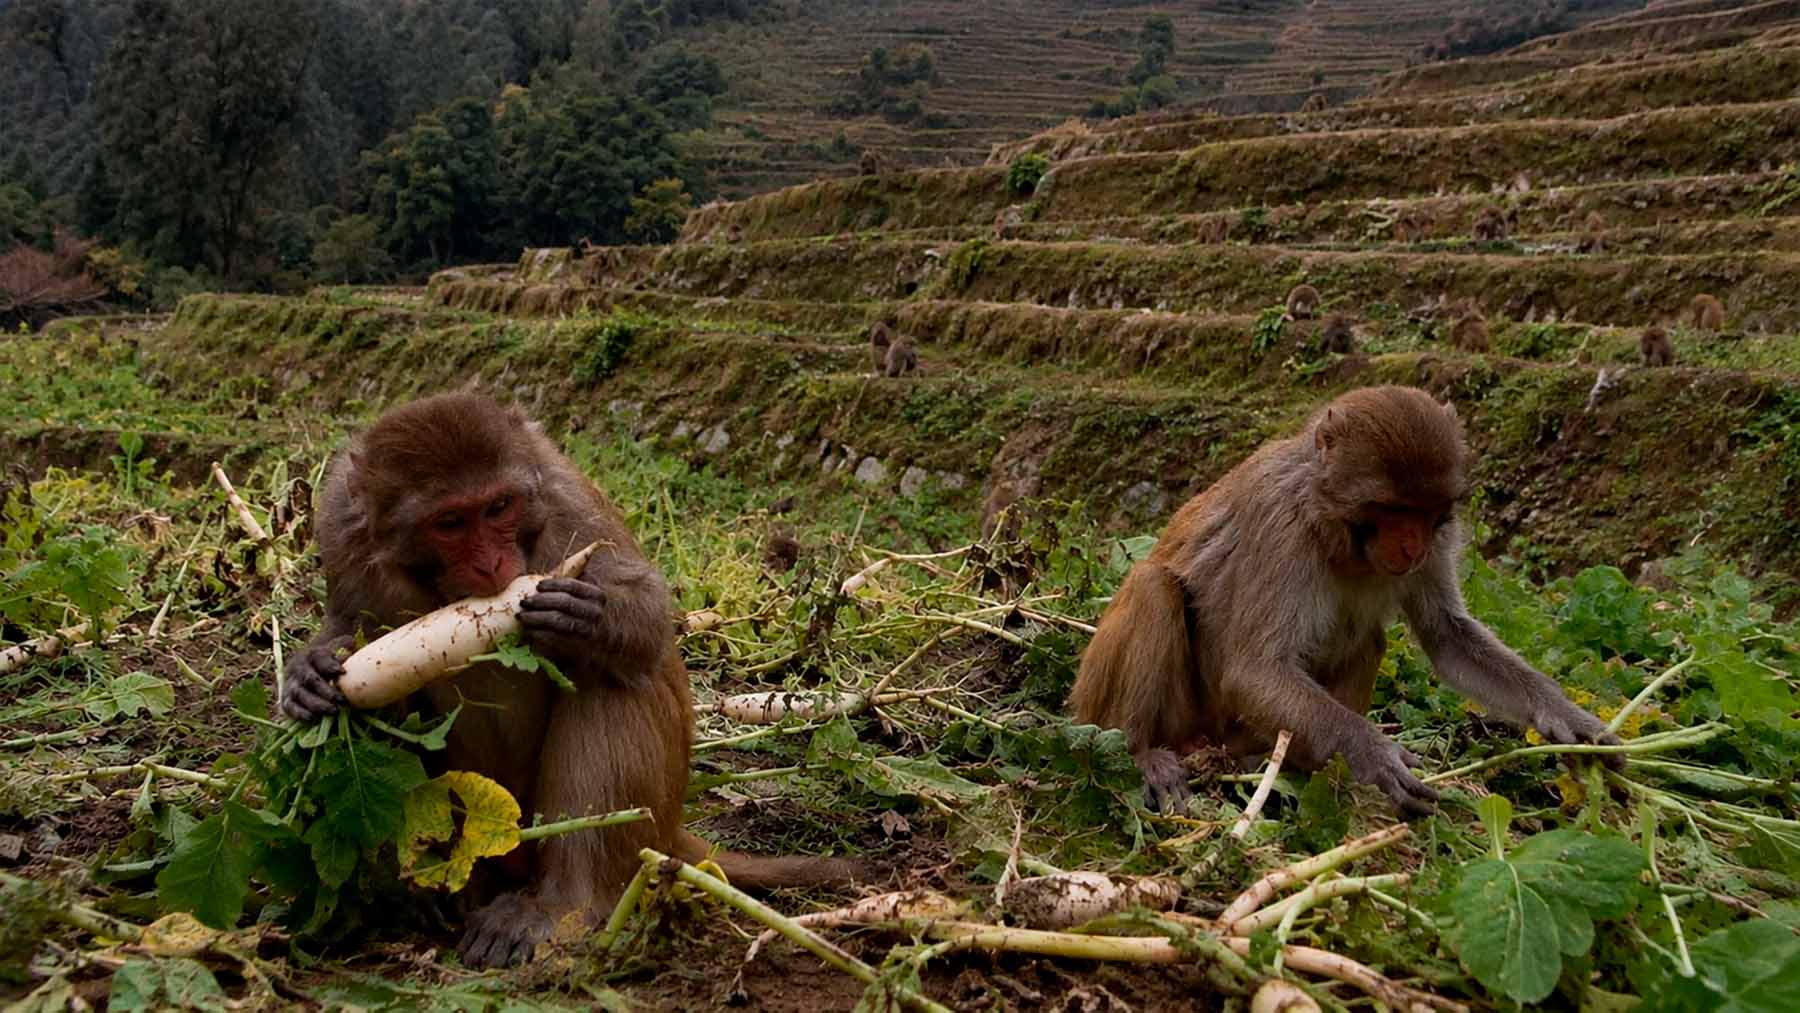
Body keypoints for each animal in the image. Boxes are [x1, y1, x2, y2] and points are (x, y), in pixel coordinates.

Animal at [280, 393, 862, 968]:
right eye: (449, 522)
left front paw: (589, 621)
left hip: (637, 822)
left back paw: (562, 903)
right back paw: (430, 886)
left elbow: (649, 616)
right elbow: (349, 624)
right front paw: (310, 670)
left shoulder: (564, 500)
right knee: (387, 717)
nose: (492, 564)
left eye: (499, 507)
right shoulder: (339, 522)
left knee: (606, 682)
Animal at [1069, 386, 1621, 815]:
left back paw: (1281, 767)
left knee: (1367, 638)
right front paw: (1371, 754)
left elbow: (1447, 635)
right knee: (1153, 588)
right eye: (1393, 509)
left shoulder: (1442, 537)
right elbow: (1253, 669)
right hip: (1137, 713)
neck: (1336, 527)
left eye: (1427, 512)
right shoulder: (1280, 522)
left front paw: (1573, 722)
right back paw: (1140, 752)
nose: (1413, 547)